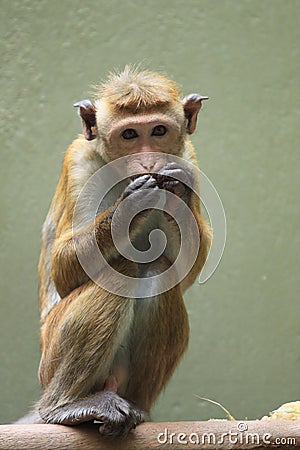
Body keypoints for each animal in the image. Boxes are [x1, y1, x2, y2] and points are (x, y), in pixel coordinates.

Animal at [18, 67, 211, 436]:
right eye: (130, 134)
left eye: (159, 131)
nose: (147, 160)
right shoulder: (78, 162)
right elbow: (61, 268)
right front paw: (128, 209)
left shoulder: (188, 157)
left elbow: (184, 273)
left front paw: (178, 189)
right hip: (49, 360)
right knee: (120, 270)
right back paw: (65, 406)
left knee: (157, 270)